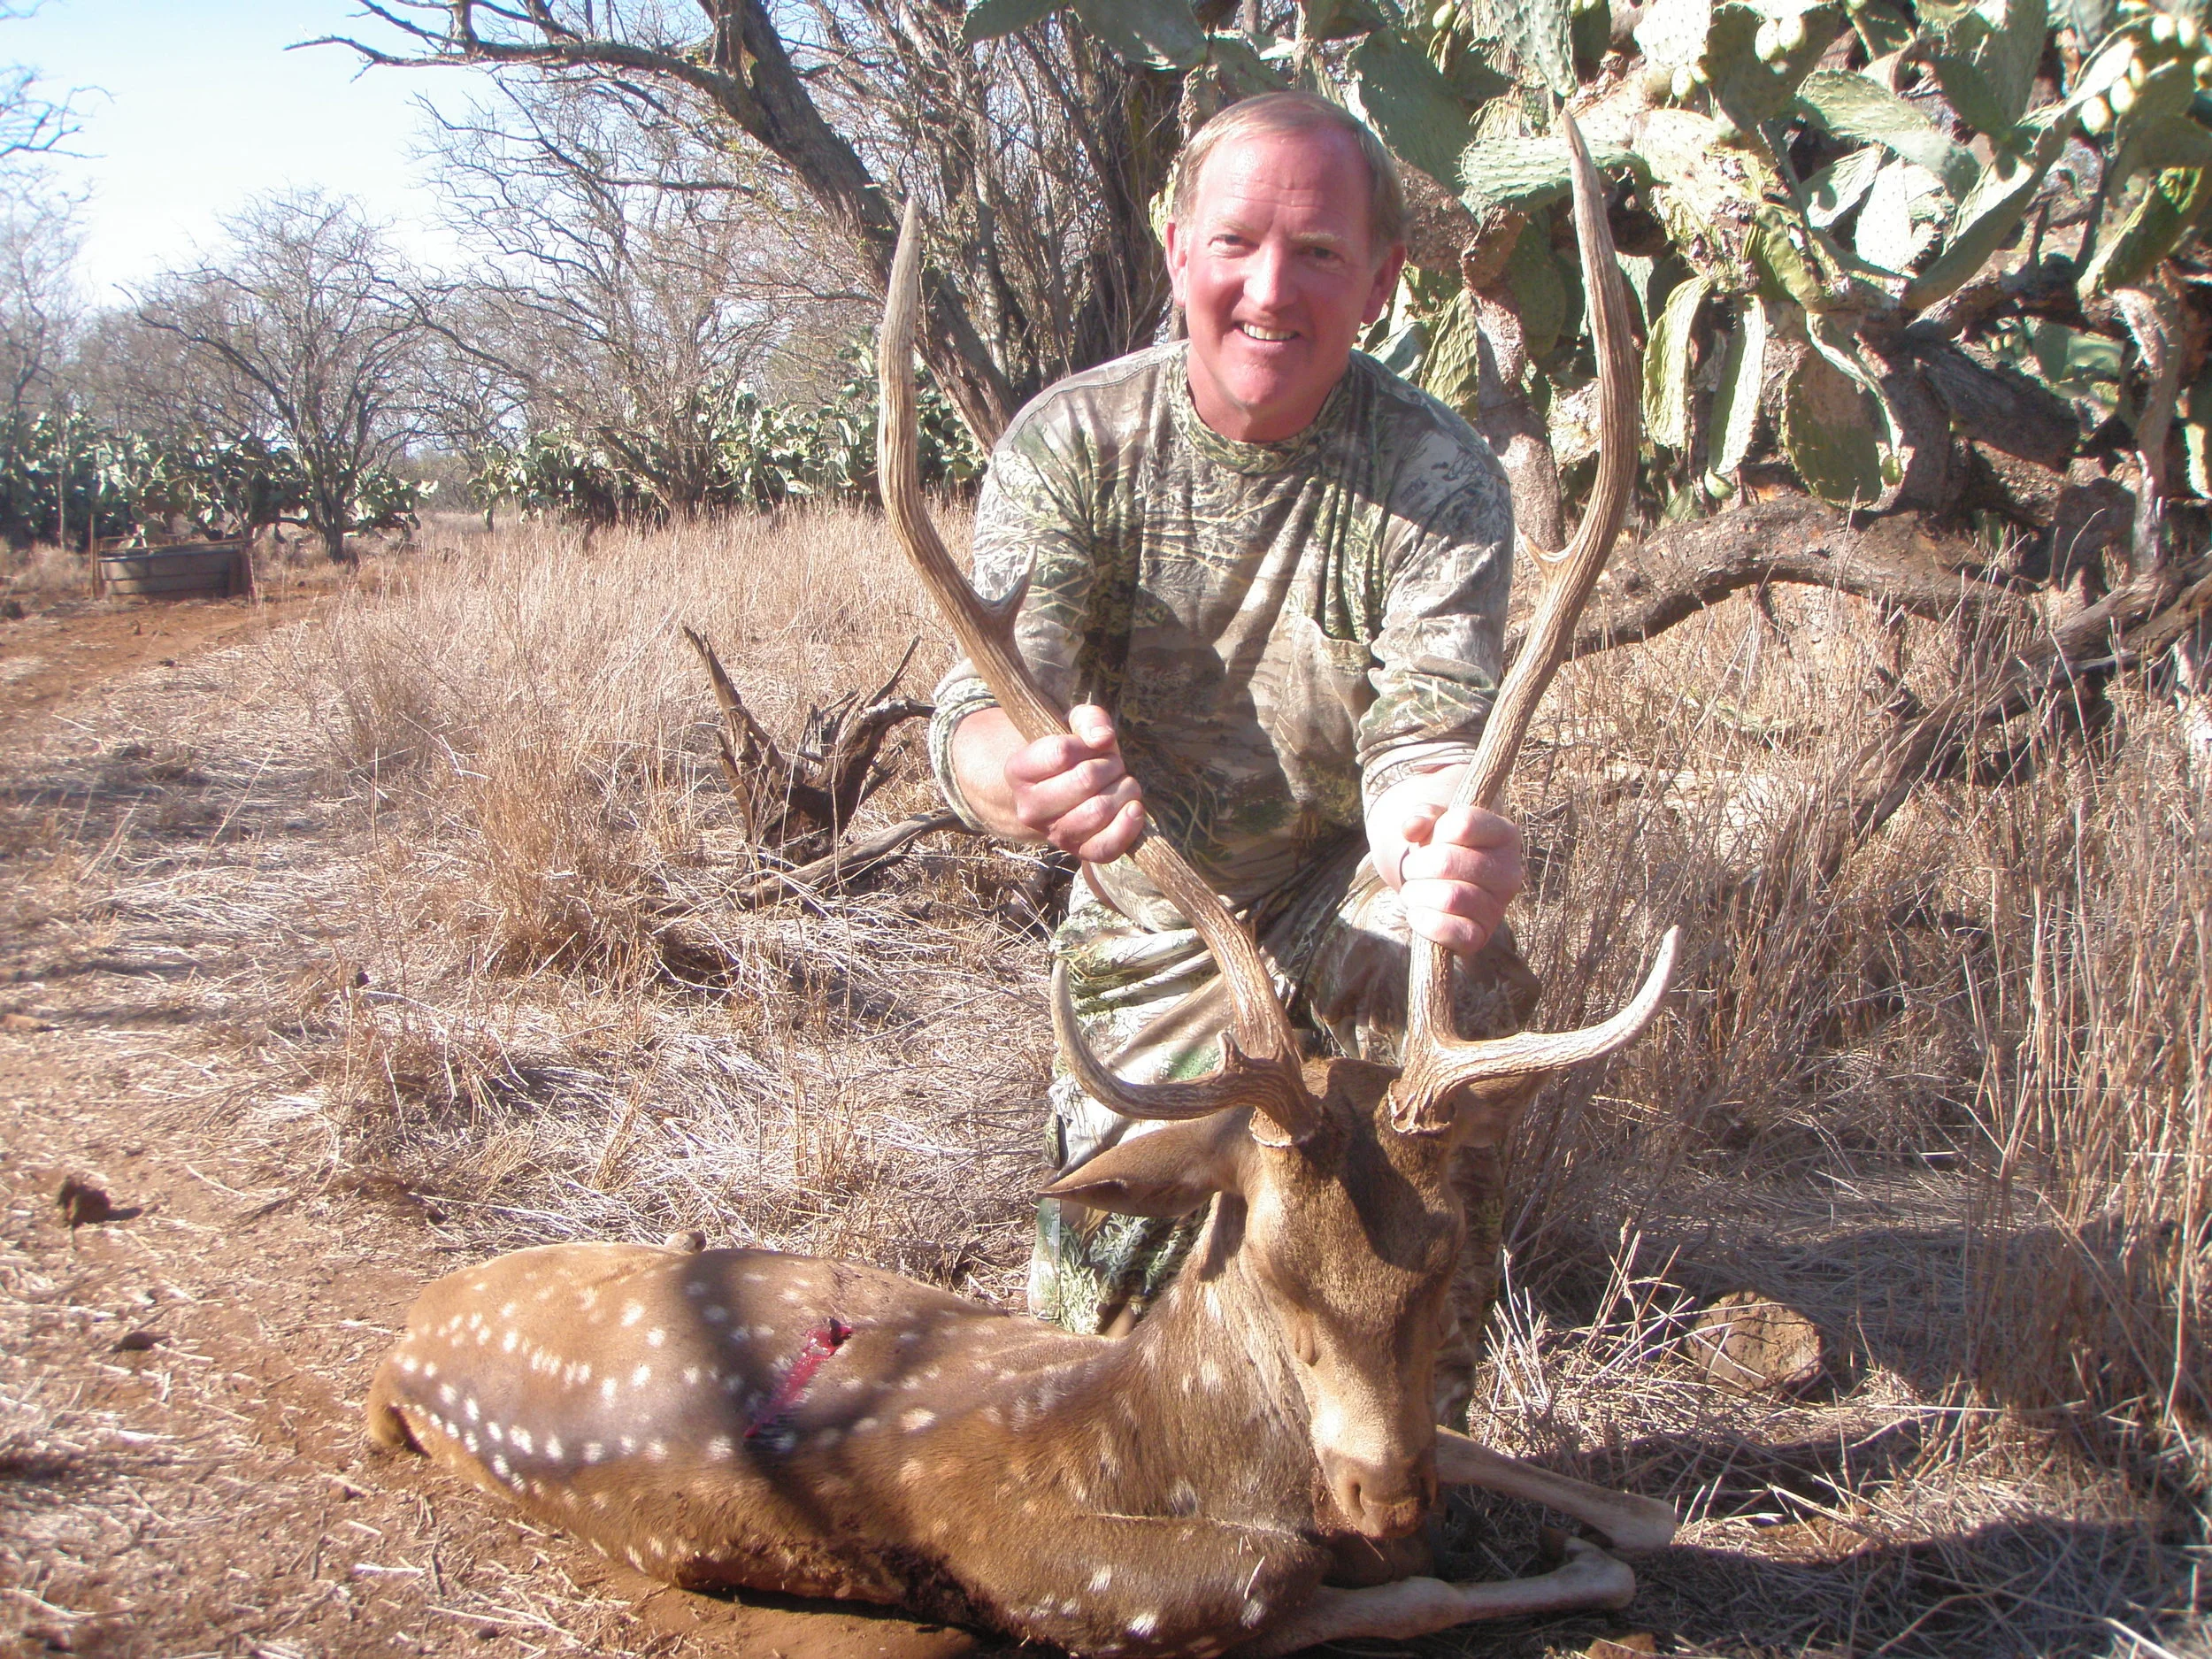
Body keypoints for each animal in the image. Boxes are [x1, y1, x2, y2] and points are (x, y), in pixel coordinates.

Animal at [365, 115, 1678, 1656]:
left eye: (1449, 1261)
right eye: (1269, 1267)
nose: (1381, 1494)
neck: (1144, 1430)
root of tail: (399, 1341)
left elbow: (1639, 1516)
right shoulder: (1158, 1591)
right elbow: (1449, 1574)